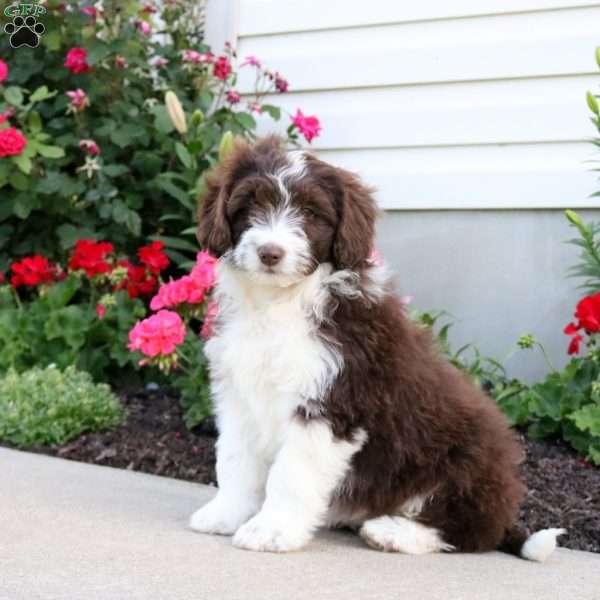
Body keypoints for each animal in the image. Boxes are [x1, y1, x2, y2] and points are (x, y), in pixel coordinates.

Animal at [190, 135, 564, 556]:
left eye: (310, 213)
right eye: (250, 205)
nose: (270, 253)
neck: (280, 303)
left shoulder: (331, 403)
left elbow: (291, 474)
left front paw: (272, 530)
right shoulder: (238, 393)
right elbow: (235, 458)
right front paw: (226, 513)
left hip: (464, 460)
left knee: (466, 530)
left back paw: (391, 531)